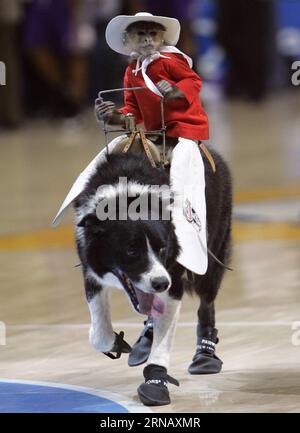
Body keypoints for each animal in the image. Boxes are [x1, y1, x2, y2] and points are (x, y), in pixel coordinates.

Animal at [74, 148, 232, 404]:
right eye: (131, 251)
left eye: (162, 249)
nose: (161, 283)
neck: (129, 198)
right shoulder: (91, 267)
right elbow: (99, 333)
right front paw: (115, 341)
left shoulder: (174, 276)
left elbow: (163, 340)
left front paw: (155, 382)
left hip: (213, 252)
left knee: (206, 304)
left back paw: (205, 355)